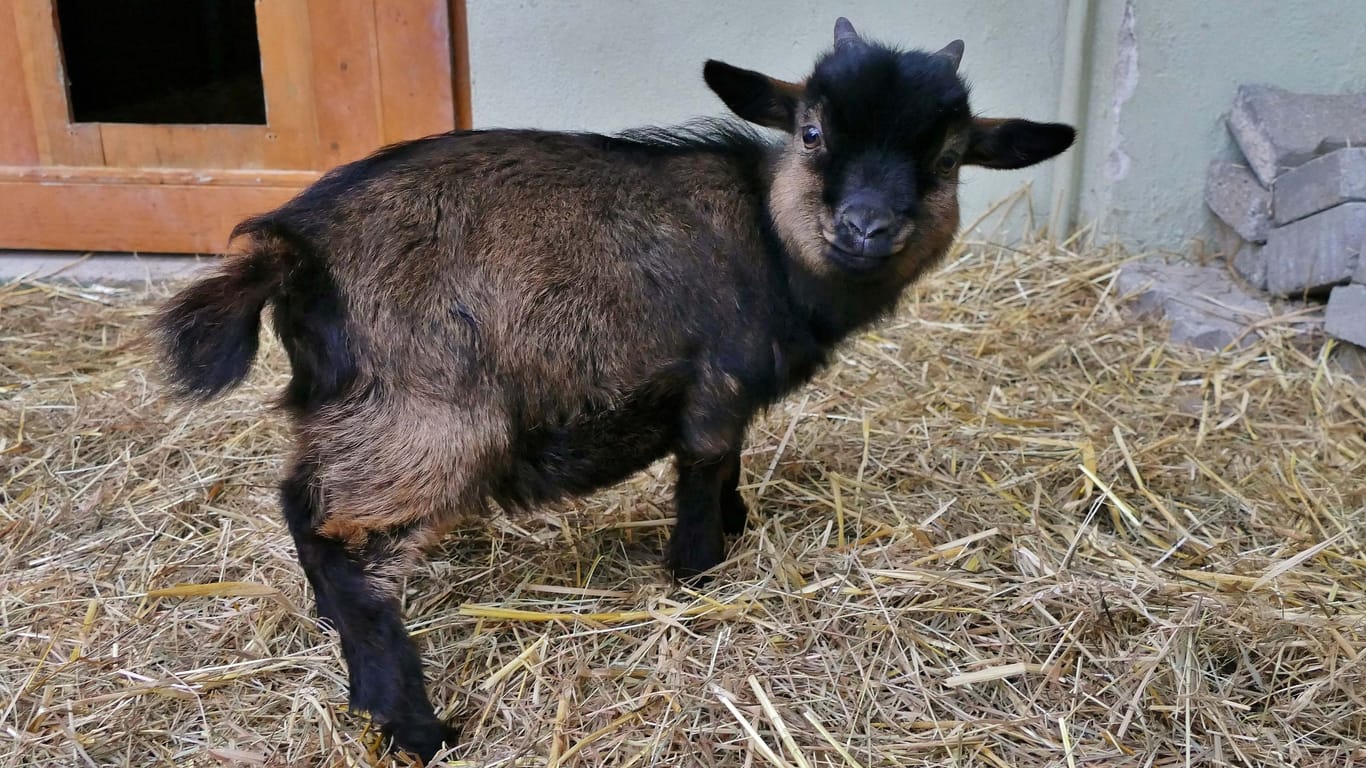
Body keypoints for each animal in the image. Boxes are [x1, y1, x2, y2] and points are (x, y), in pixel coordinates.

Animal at [157, 17, 1076, 759]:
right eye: (813, 132)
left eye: (949, 157)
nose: (864, 227)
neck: (769, 239)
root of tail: (292, 252)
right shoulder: (715, 383)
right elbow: (704, 474)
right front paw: (699, 576)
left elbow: (731, 467)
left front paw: (739, 529)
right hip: (430, 425)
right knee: (338, 539)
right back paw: (413, 723)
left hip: (353, 414)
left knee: (299, 503)